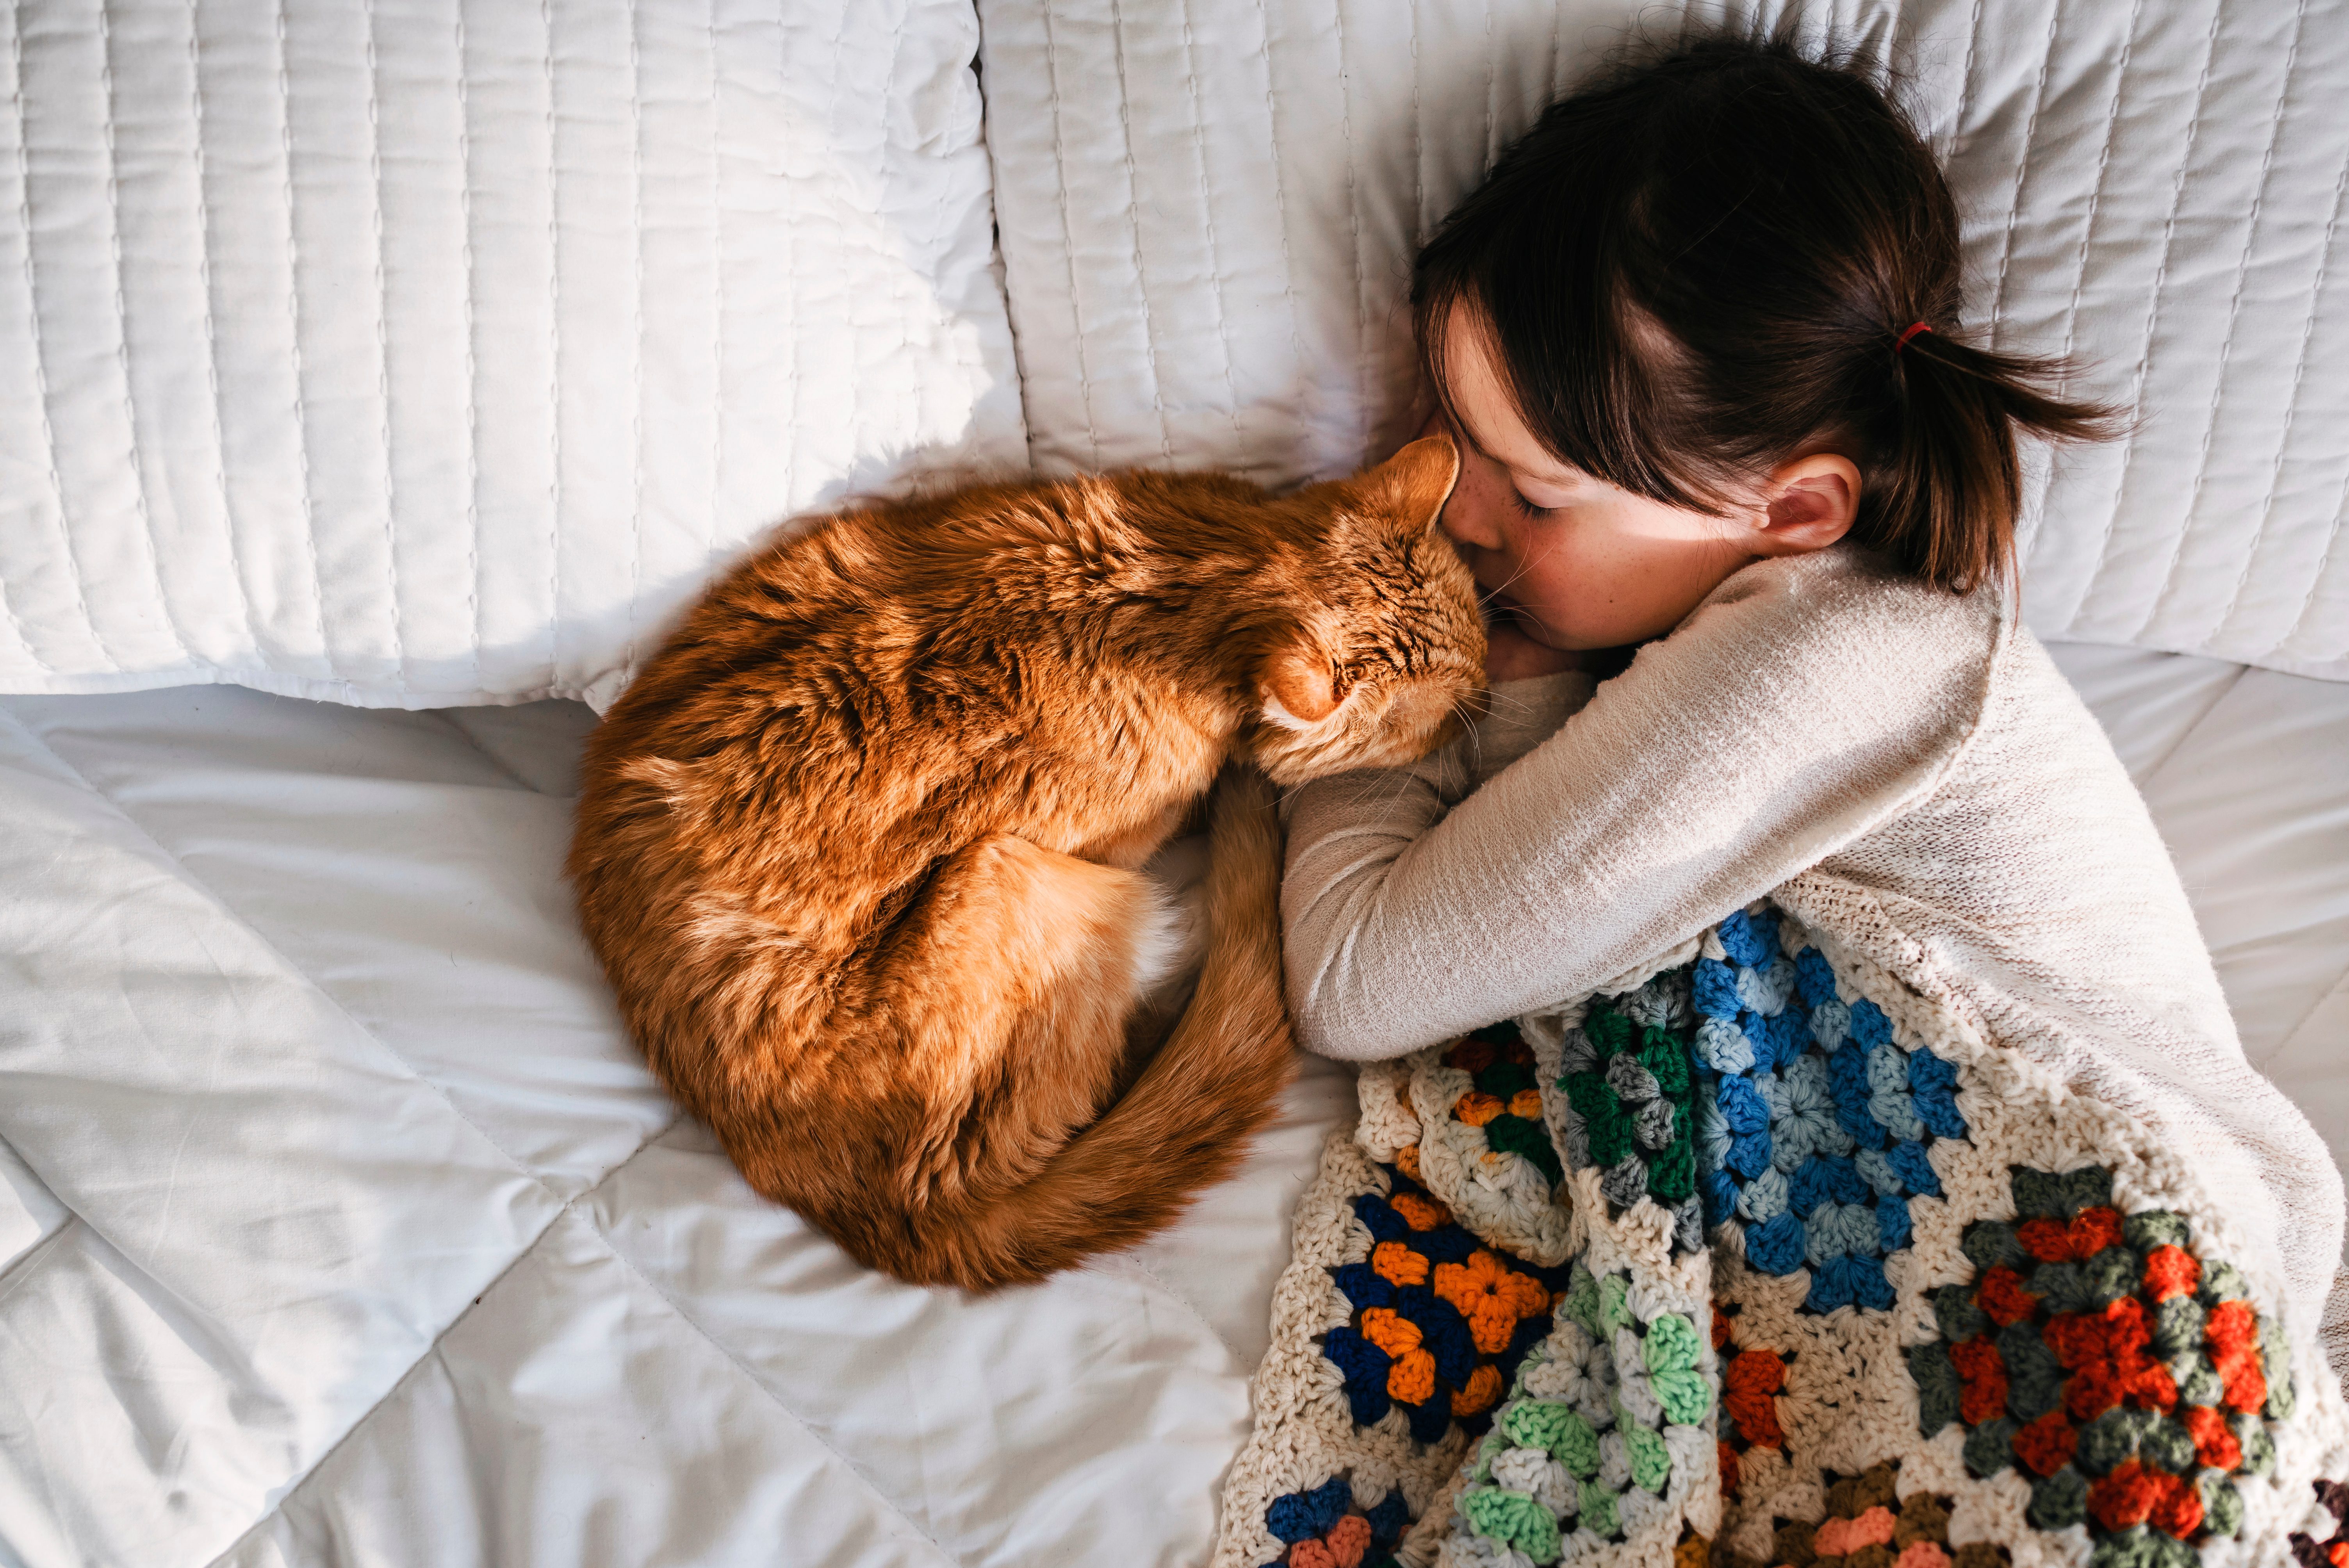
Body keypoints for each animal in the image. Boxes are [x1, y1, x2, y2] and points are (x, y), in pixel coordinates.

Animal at [570, 432, 1485, 1286]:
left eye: (1481, 653)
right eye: (1437, 720)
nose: (1482, 705)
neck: (1187, 580)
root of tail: (891, 1225)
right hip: (1031, 880)